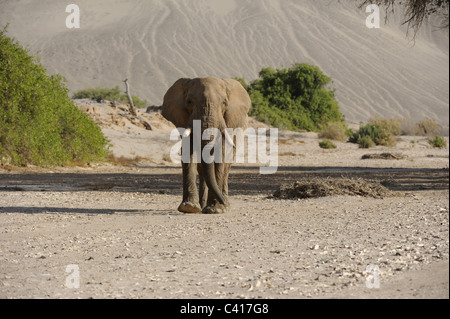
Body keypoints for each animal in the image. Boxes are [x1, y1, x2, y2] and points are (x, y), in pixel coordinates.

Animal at [163, 77, 253, 215]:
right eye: (189, 102)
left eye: (224, 103)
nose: (222, 202)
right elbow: (188, 153)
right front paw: (189, 208)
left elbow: (220, 156)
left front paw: (215, 209)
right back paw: (203, 205)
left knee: (226, 167)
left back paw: (223, 205)